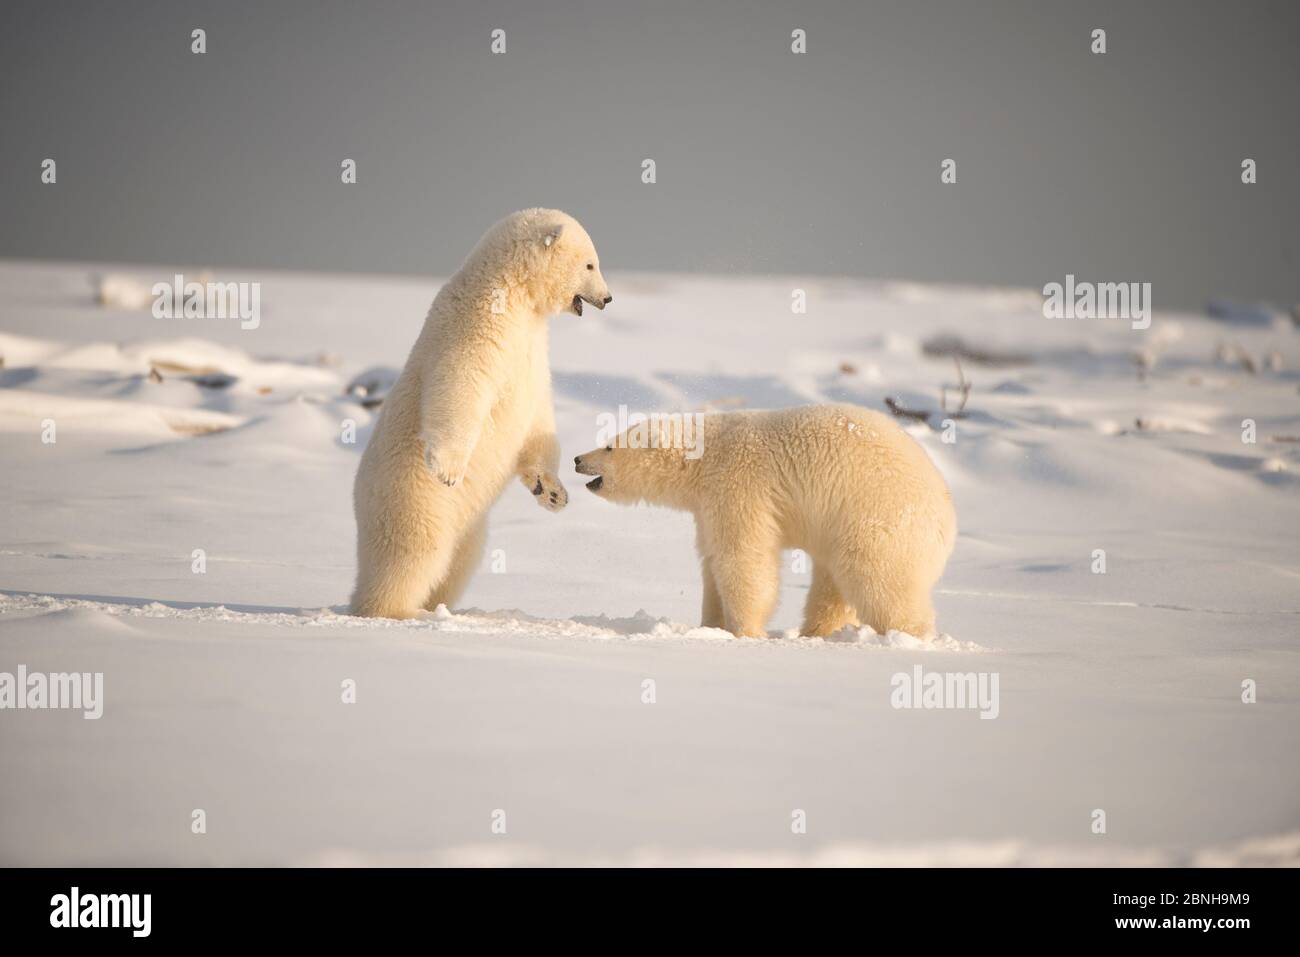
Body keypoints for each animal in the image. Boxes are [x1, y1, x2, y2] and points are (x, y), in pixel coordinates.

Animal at [350, 208, 612, 619]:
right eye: (590, 263)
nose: (607, 298)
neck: (511, 291)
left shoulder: (530, 346)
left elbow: (536, 413)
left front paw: (552, 491)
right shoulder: (477, 326)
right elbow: (461, 384)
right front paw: (449, 468)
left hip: (469, 525)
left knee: (459, 562)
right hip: (410, 498)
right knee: (411, 555)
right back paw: (393, 610)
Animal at [574, 404, 956, 638]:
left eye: (609, 447)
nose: (578, 459)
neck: (703, 458)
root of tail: (948, 518)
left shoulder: (739, 483)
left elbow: (742, 559)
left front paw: (744, 631)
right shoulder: (706, 504)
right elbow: (711, 560)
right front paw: (711, 625)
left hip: (878, 515)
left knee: (878, 578)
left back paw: (907, 633)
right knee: (832, 581)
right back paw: (814, 632)